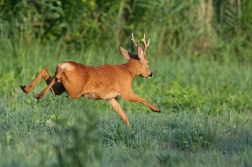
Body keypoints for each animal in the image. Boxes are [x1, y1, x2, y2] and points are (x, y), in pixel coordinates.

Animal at [20, 33, 160, 126]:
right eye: (148, 63)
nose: (151, 74)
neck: (128, 72)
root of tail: (64, 65)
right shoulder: (126, 91)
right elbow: (140, 99)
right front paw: (157, 109)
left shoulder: (111, 98)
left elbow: (124, 116)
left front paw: (131, 131)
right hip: (74, 90)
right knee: (57, 76)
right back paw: (38, 94)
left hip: (62, 87)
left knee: (46, 72)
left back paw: (27, 89)